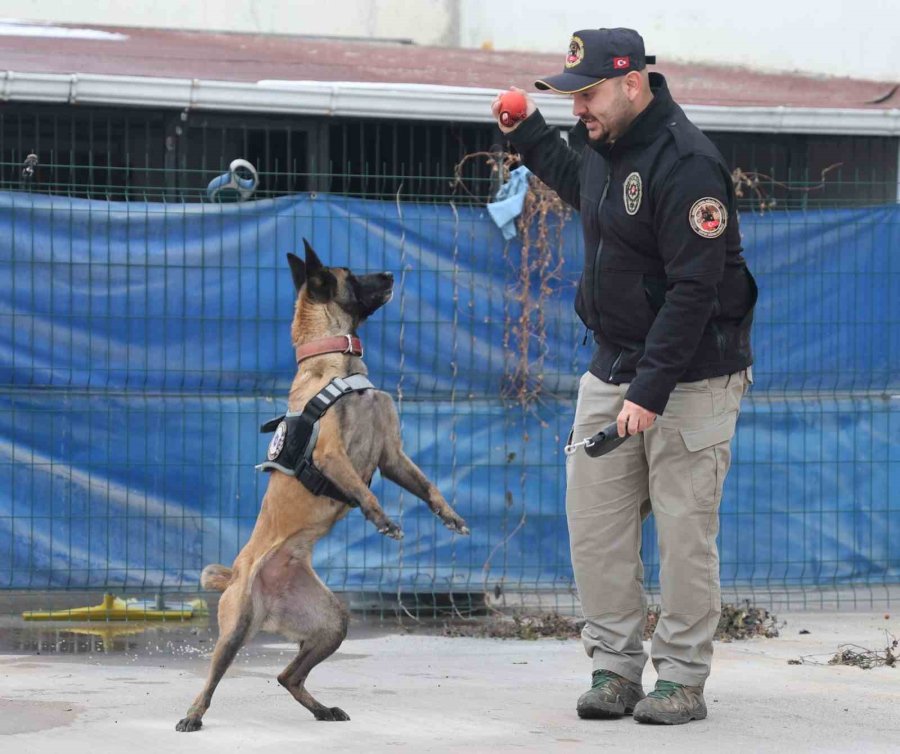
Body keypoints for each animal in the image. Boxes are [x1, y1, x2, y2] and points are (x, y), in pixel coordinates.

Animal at [177, 241, 472, 728]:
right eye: (351, 275)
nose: (390, 274)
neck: (336, 363)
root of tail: (240, 577)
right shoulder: (333, 455)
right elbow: (363, 489)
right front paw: (383, 520)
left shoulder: (393, 456)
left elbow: (427, 486)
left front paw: (449, 516)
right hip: (236, 628)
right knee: (213, 678)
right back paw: (193, 715)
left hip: (332, 622)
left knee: (287, 676)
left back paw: (322, 709)